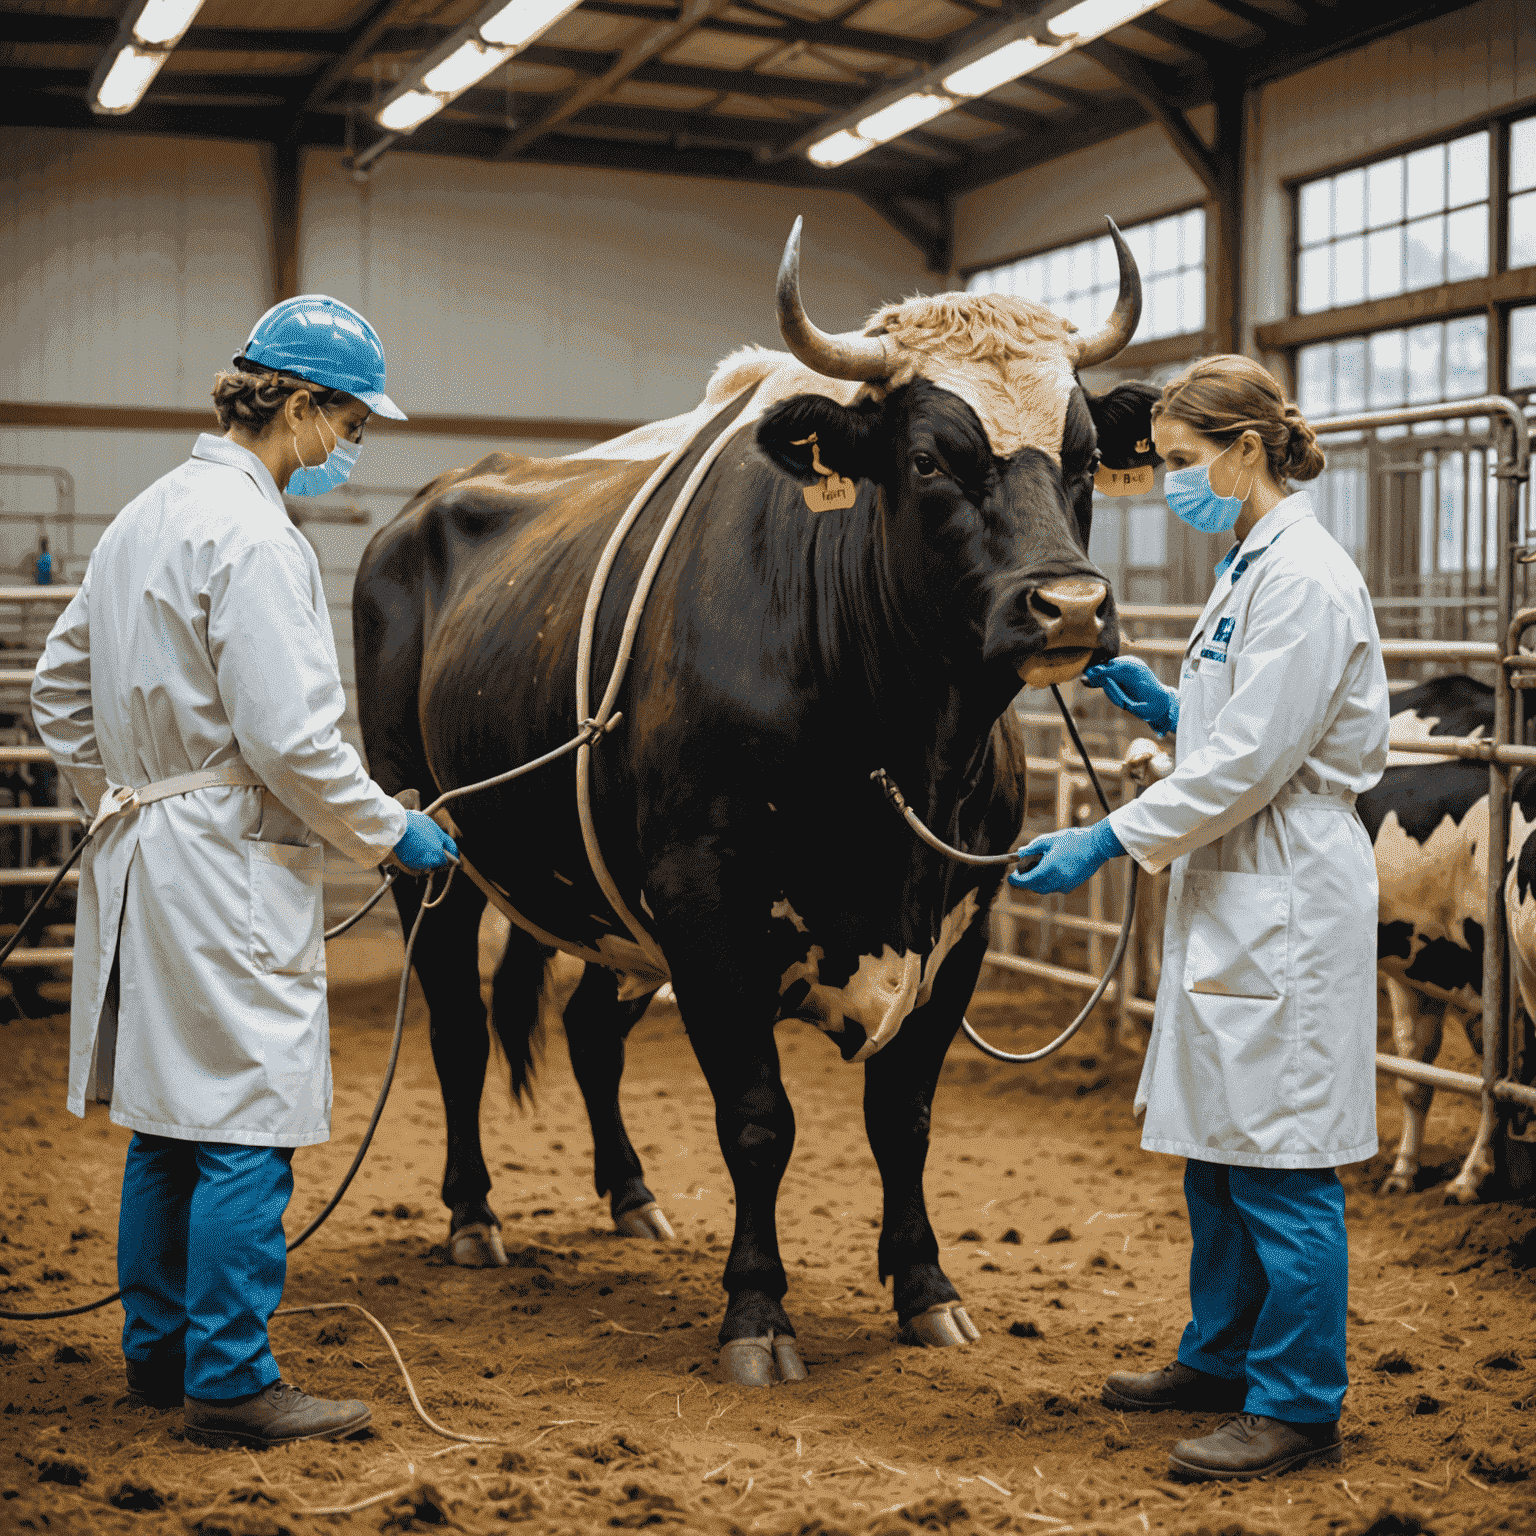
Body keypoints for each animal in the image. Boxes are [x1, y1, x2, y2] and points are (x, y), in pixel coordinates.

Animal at [353, 365, 1155, 1376]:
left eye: (1085, 459)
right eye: (927, 459)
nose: (1073, 606)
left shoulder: (963, 921)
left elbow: (904, 1117)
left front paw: (927, 1291)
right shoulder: (707, 909)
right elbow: (758, 1120)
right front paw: (758, 1313)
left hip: (614, 914)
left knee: (588, 1030)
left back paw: (632, 1197)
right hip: (431, 857)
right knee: (459, 1031)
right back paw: (471, 1215)